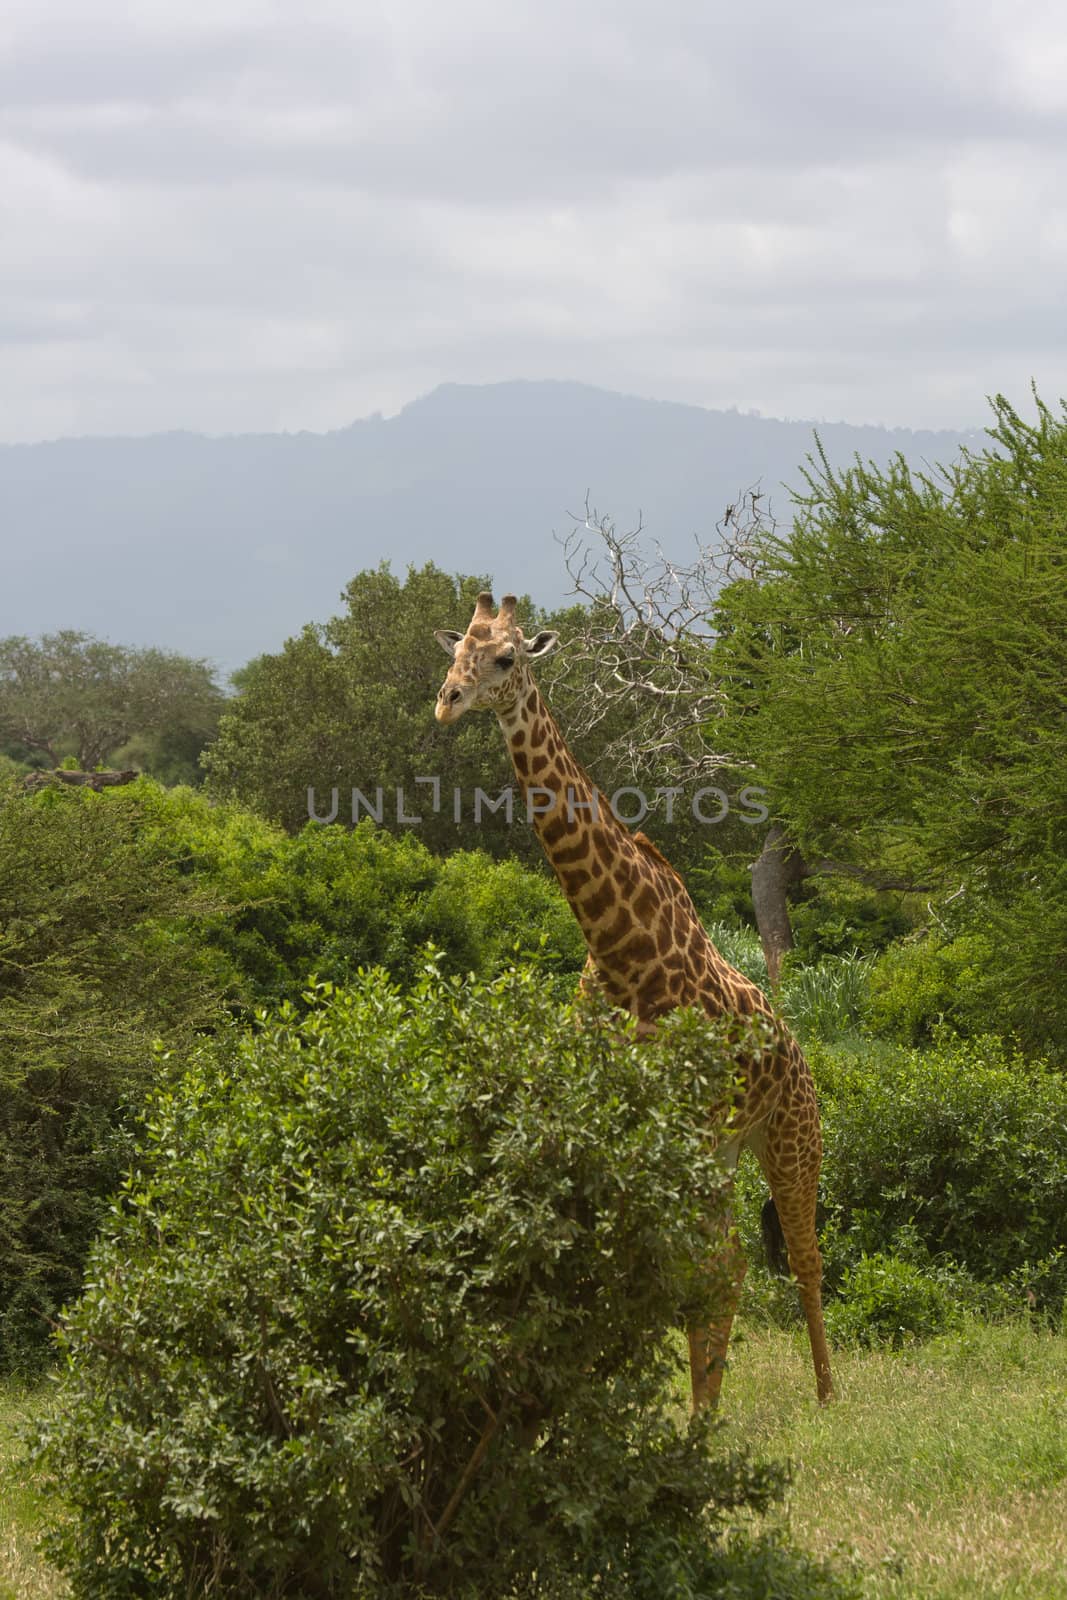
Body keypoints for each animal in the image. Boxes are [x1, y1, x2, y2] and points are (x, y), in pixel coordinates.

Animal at [435, 595, 831, 1408]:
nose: (446, 701)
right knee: (732, 1261)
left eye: (506, 657)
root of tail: (799, 1053)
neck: (622, 947)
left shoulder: (684, 1123)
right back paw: (709, 1405)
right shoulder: (604, 1115)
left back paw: (824, 1396)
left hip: (788, 1139)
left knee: (795, 1258)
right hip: (723, 1152)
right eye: (455, 651)